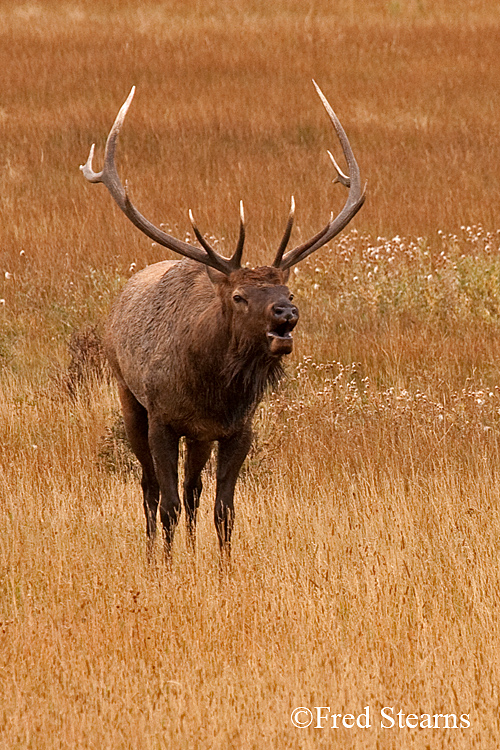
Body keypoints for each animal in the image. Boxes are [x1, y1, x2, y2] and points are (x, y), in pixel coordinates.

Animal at [80, 82, 365, 565]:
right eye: (239, 296)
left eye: (289, 293)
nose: (286, 315)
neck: (210, 389)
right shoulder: (163, 418)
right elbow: (168, 504)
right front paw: (167, 567)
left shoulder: (237, 428)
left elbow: (224, 508)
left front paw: (223, 567)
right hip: (128, 395)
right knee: (150, 488)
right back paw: (153, 551)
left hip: (199, 438)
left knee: (194, 489)